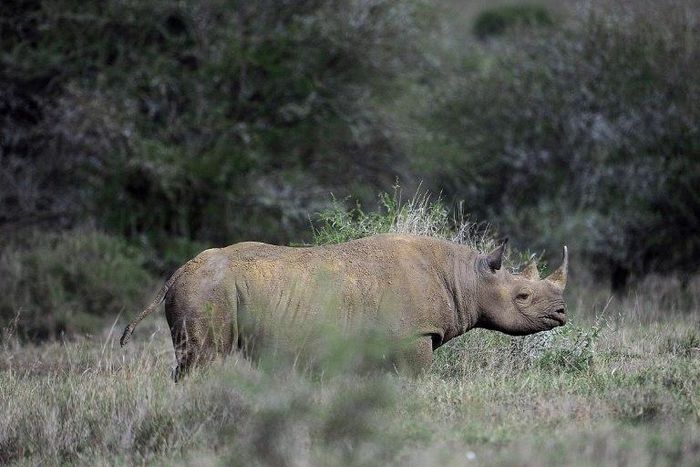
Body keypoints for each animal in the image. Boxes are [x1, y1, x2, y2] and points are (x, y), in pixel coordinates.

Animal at [120, 234, 568, 379]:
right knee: (204, 359)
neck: (468, 277)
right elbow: (417, 379)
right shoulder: (414, 335)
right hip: (207, 289)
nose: (562, 314)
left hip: (206, 286)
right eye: (522, 297)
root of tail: (176, 273)